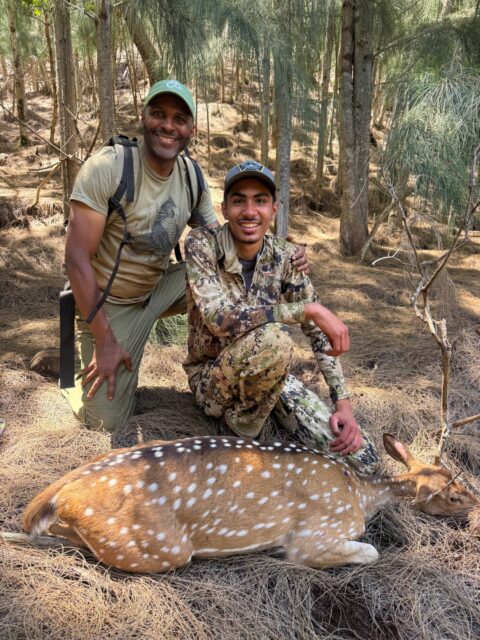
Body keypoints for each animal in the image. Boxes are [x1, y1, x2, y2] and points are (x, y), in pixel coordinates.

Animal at [21, 433, 478, 573]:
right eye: (455, 494)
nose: (476, 507)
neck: (360, 494)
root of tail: (59, 494)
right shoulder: (314, 536)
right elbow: (369, 551)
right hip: (156, 546)